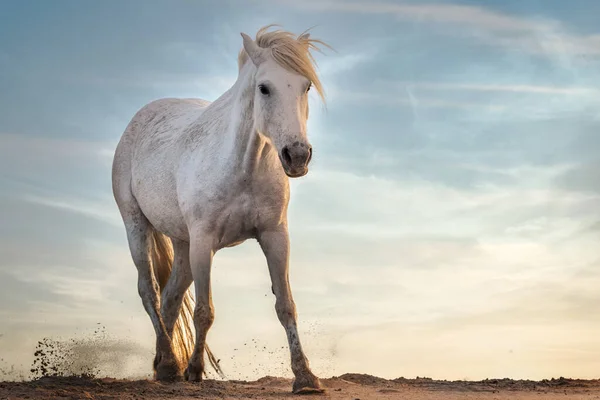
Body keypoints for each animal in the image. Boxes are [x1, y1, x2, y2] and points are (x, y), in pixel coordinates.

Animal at [110, 25, 330, 394]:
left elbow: (286, 305)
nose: (297, 156)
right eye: (264, 87)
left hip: (182, 243)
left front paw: (305, 376)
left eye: (306, 86)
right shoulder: (204, 242)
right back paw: (171, 365)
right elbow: (204, 311)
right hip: (137, 225)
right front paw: (195, 370)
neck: (243, 165)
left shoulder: (275, 237)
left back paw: (163, 365)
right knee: (149, 292)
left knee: (170, 297)